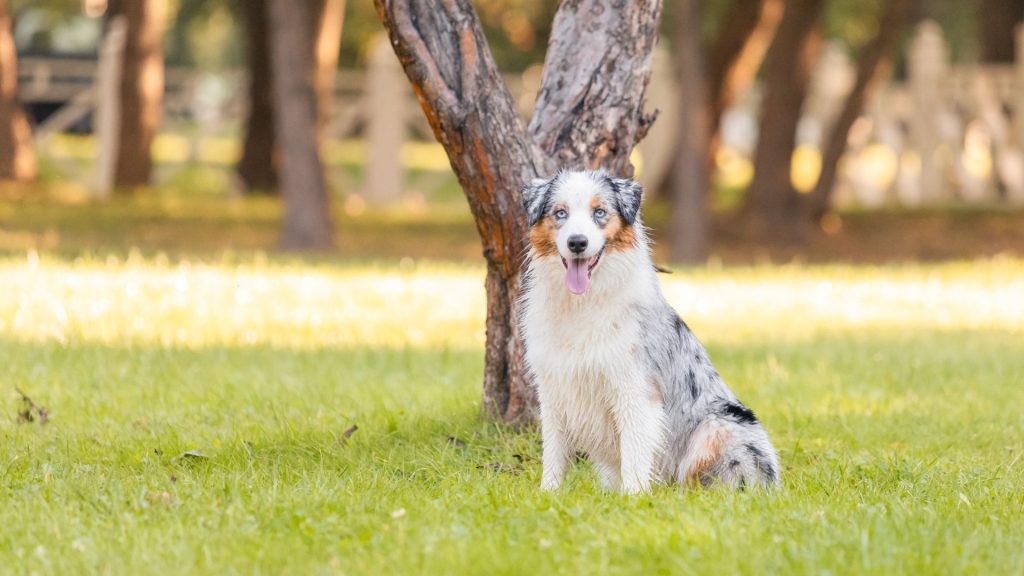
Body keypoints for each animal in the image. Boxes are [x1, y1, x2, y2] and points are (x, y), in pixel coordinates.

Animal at [520, 168, 782, 491]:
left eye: (599, 212)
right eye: (560, 213)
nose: (577, 242)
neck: (582, 303)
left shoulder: (634, 388)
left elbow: (634, 452)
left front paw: (633, 496)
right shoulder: (554, 388)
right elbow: (554, 452)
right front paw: (548, 492)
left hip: (721, 425)